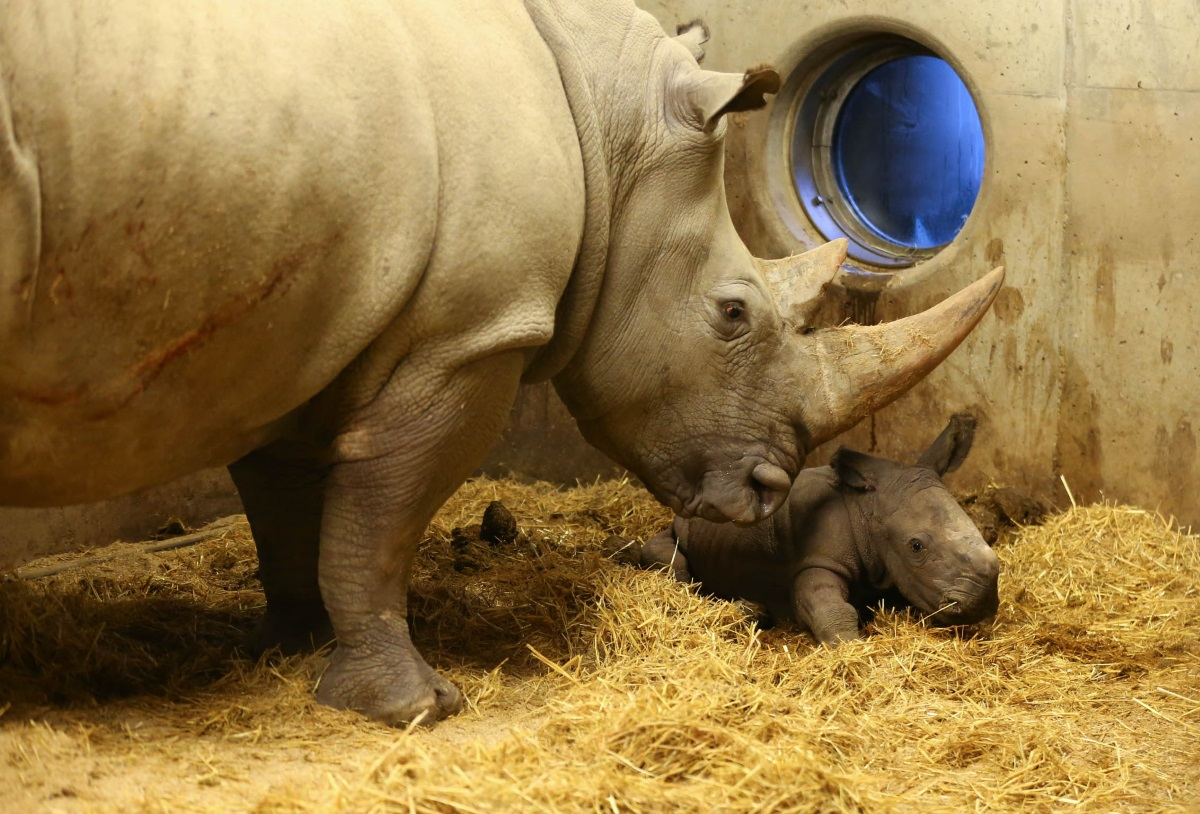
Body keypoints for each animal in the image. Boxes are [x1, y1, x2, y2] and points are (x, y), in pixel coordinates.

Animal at [640, 415, 1000, 643]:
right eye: (916, 546)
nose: (983, 601)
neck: (868, 511)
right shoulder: (817, 560)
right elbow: (828, 607)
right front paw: (853, 649)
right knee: (670, 559)